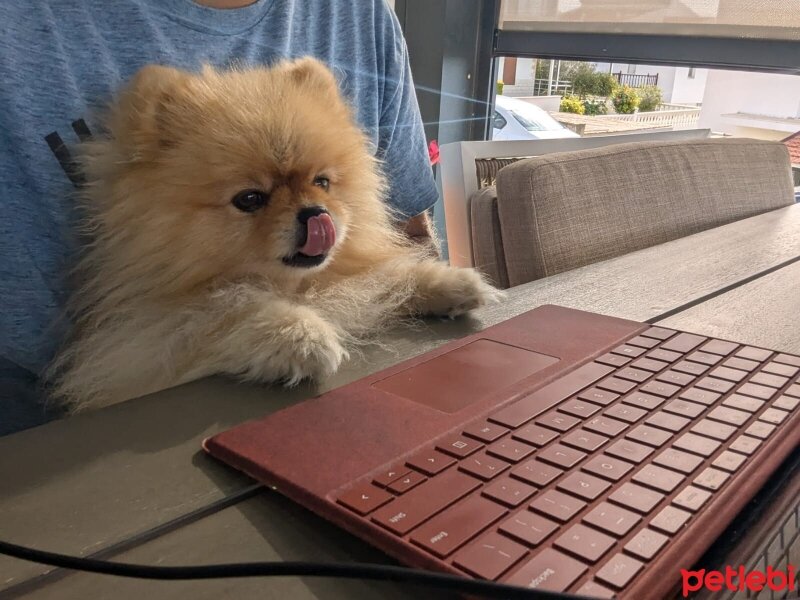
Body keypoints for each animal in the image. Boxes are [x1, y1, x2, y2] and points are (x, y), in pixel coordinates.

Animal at [48, 57, 500, 412]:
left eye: (322, 182)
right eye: (250, 198)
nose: (316, 214)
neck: (295, 287)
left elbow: (385, 280)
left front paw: (449, 283)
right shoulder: (138, 345)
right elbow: (219, 312)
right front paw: (300, 333)